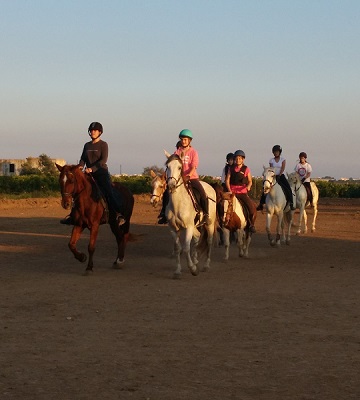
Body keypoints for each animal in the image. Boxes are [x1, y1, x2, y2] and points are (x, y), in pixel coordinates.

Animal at [164, 152, 217, 280]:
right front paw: (177, 271)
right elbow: (178, 248)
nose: (171, 185)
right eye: (167, 166)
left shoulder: (188, 227)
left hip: (209, 224)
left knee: (209, 241)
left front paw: (193, 269)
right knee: (197, 237)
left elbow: (186, 248)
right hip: (194, 226)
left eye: (179, 167)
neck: (178, 204)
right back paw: (195, 261)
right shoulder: (173, 228)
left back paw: (205, 265)